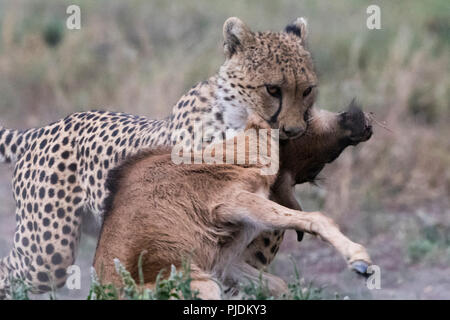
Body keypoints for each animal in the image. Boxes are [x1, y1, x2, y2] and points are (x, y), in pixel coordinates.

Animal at [0, 17, 318, 298]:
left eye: (307, 90)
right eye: (272, 89)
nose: (295, 130)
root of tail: (44, 128)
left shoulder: (238, 254)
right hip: (48, 254)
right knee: (11, 271)